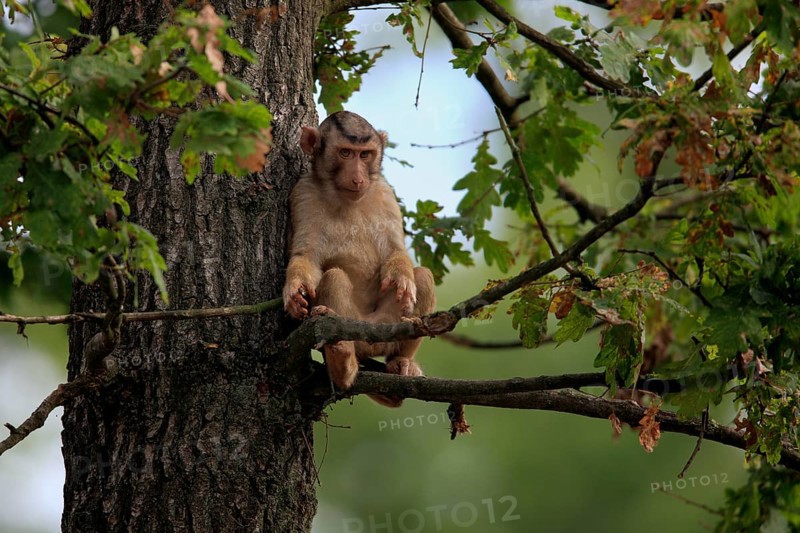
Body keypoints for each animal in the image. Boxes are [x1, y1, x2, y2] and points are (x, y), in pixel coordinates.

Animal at [283, 111, 436, 407]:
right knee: (333, 277)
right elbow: (306, 256)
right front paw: (294, 290)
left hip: (387, 324)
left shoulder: (385, 192)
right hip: (355, 325)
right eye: (345, 153)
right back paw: (344, 364)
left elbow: (396, 251)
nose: (358, 179)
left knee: (423, 276)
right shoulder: (303, 193)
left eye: (365, 155)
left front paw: (401, 275)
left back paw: (401, 363)